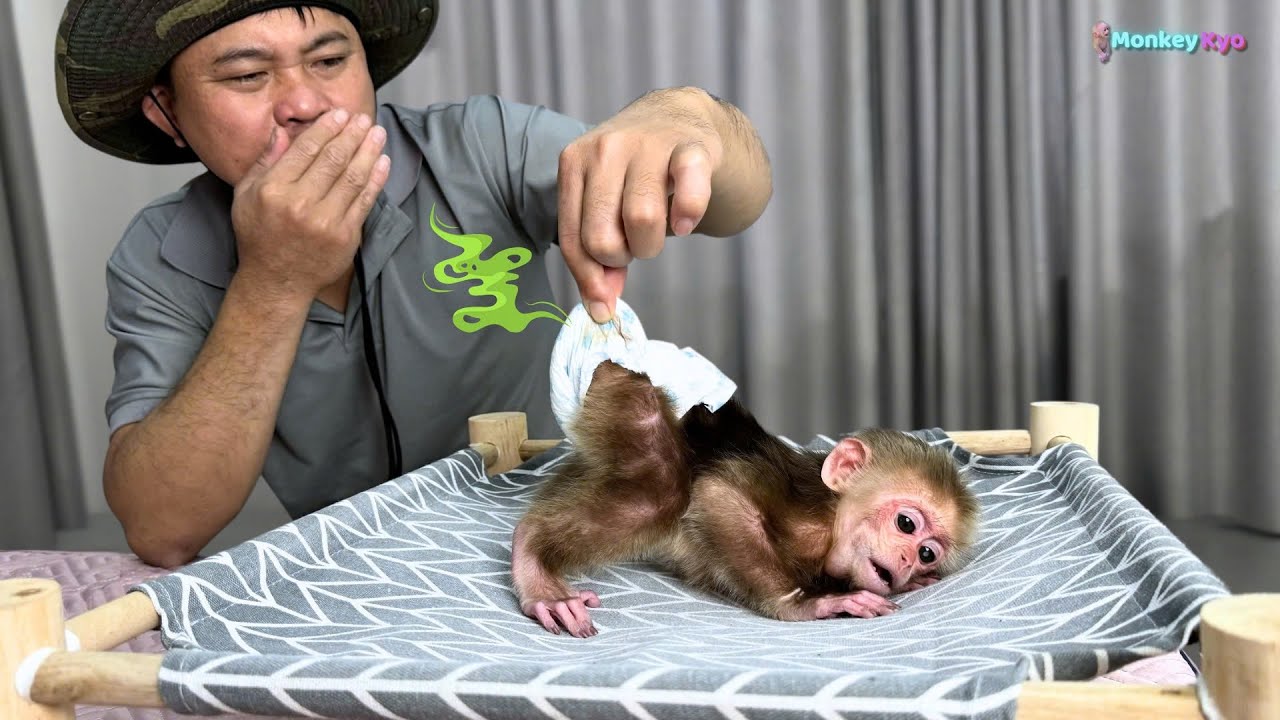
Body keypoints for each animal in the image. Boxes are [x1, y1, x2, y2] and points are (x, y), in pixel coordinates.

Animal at [510, 360, 981, 638]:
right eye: (906, 524)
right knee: (664, 491)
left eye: (926, 554)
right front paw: (805, 605)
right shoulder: (806, 518)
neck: (831, 525)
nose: (905, 562)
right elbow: (718, 495)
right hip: (614, 387)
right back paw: (533, 557)